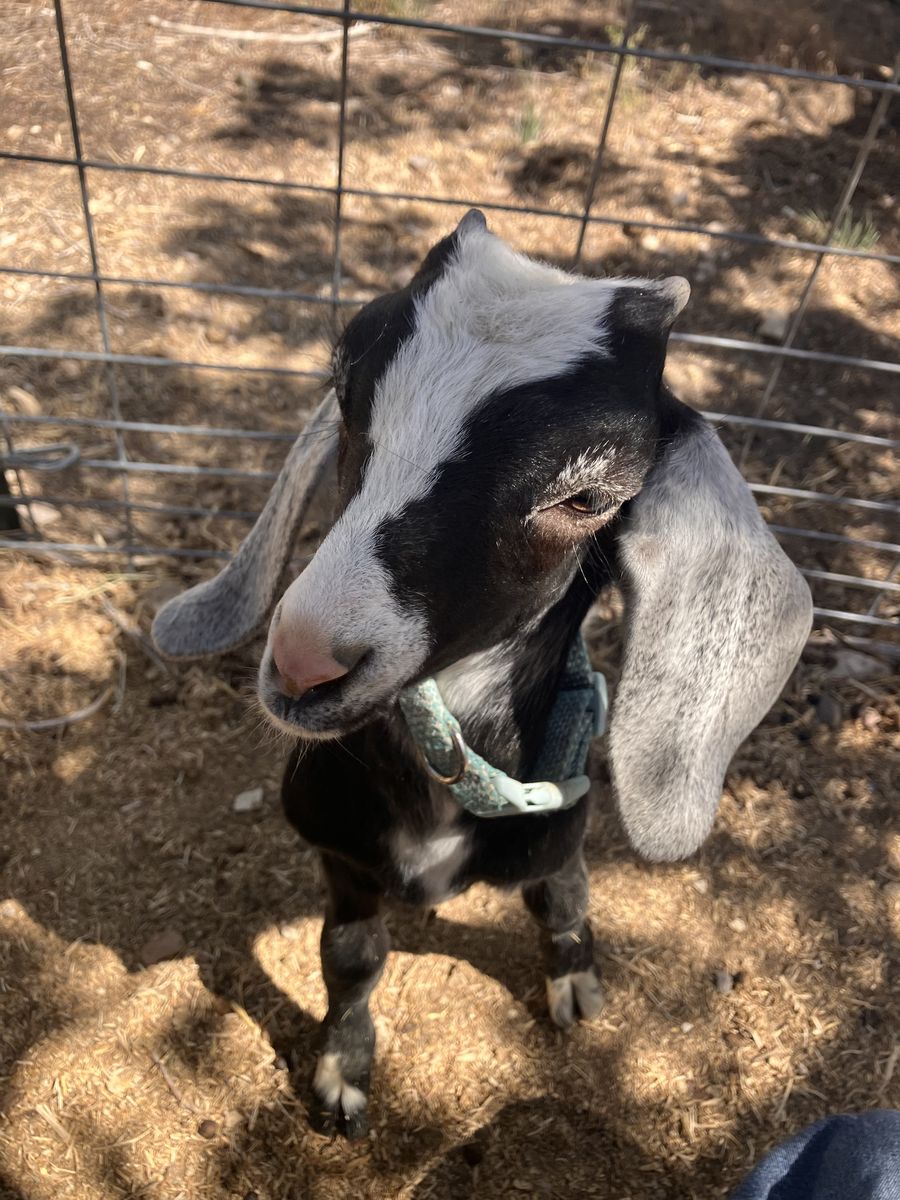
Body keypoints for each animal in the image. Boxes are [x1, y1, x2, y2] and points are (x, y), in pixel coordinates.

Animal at [153, 210, 812, 1138]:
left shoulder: (558, 834)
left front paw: (575, 984)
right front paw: (342, 1076)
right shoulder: (342, 859)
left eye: (587, 497)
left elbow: (563, 901)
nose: (304, 664)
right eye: (344, 390)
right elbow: (350, 957)